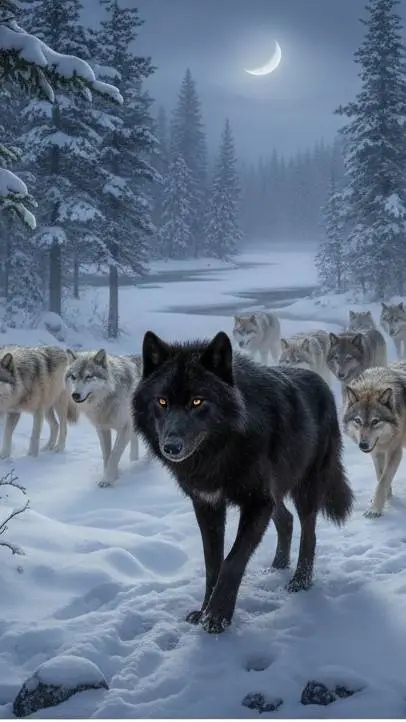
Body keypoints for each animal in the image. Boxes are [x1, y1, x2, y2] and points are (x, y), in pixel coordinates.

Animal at [66, 348, 142, 487]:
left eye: (89, 376)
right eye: (73, 377)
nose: (75, 395)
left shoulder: (125, 428)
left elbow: (114, 455)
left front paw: (107, 480)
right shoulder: (102, 429)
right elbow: (107, 455)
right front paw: (113, 476)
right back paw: (134, 461)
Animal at [132, 330, 353, 634]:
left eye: (197, 401)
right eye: (162, 401)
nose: (171, 447)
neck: (220, 452)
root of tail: (321, 381)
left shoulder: (257, 502)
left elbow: (232, 561)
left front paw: (217, 617)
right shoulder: (208, 504)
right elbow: (212, 563)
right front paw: (203, 612)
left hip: (306, 488)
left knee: (309, 532)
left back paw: (300, 581)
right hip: (276, 494)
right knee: (286, 520)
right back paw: (277, 565)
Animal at [343, 361, 406, 518]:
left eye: (375, 421)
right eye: (358, 421)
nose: (363, 445)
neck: (373, 384)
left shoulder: (395, 451)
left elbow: (383, 481)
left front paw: (375, 509)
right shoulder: (377, 453)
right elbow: (380, 476)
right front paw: (388, 497)